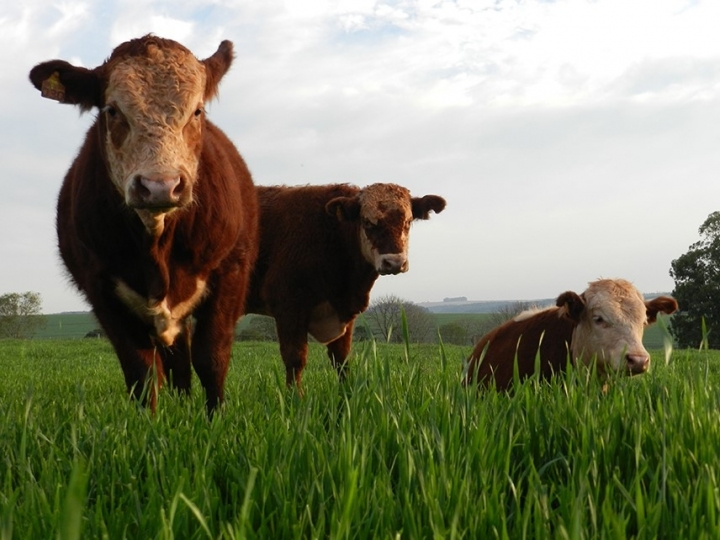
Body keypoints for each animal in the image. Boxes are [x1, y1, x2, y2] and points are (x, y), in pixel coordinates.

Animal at [31, 34, 262, 414]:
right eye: (112, 110)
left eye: (196, 111)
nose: (160, 186)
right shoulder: (101, 288)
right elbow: (142, 370)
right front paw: (149, 422)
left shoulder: (231, 270)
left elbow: (212, 357)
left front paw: (216, 418)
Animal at [243, 184, 444, 390]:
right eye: (367, 222)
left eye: (408, 221)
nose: (394, 262)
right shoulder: (289, 307)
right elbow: (295, 360)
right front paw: (294, 397)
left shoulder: (344, 313)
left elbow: (342, 360)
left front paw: (346, 395)